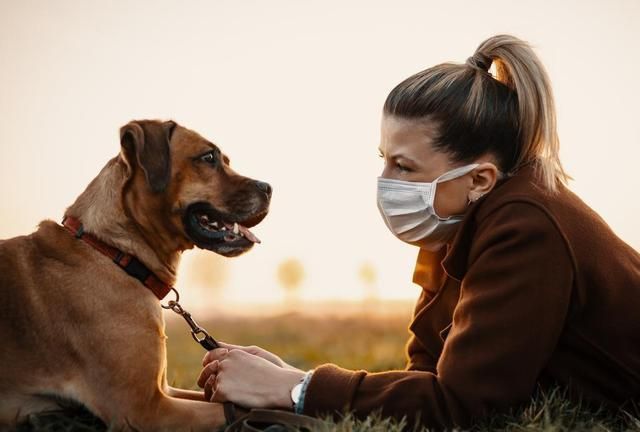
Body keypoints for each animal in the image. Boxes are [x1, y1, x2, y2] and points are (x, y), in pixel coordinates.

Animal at [0, 120, 272, 430]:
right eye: (208, 157)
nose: (269, 188)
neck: (115, 252)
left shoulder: (165, 391)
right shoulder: (145, 409)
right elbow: (241, 408)